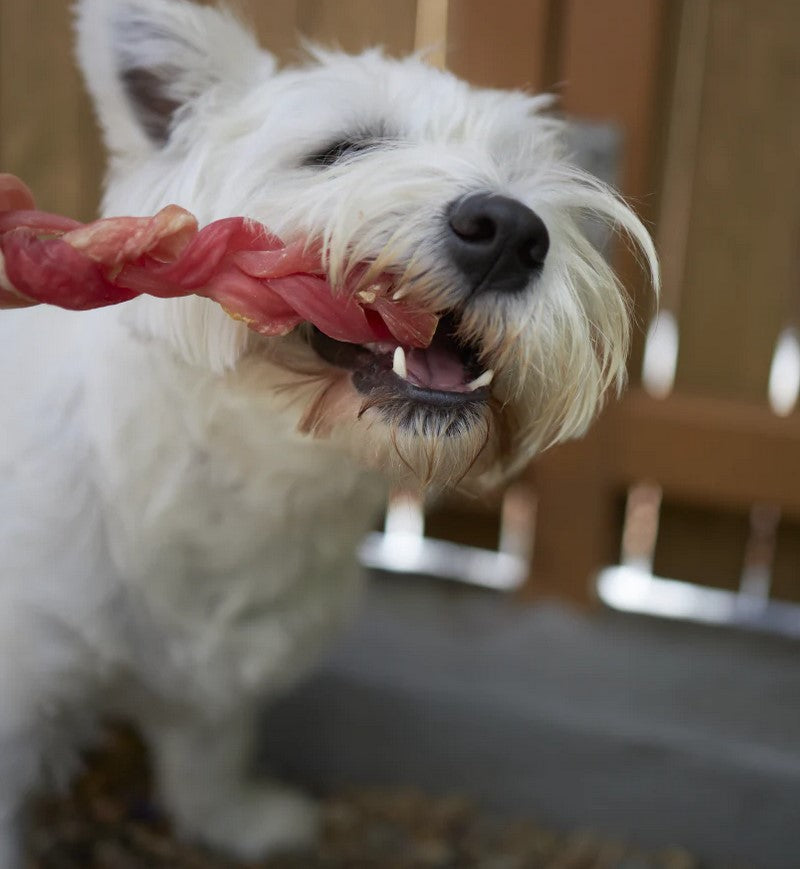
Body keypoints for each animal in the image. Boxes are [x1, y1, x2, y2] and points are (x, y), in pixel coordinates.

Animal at [0, 0, 656, 860]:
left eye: (533, 181)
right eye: (342, 149)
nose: (511, 230)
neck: (247, 488)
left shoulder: (222, 679)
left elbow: (210, 750)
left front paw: (237, 822)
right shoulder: (22, 696)